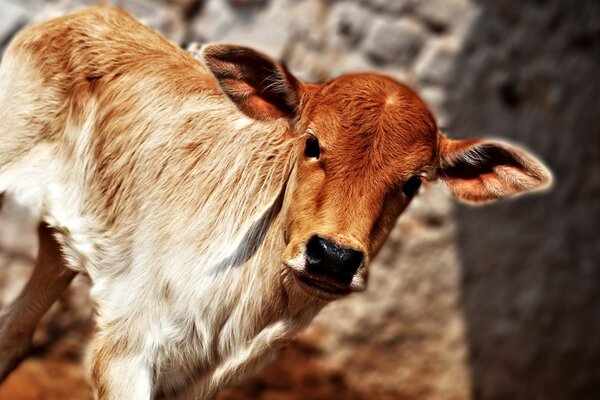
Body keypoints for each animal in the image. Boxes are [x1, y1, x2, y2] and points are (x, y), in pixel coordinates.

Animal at [0, 3, 552, 400]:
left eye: (414, 183)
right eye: (311, 143)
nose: (333, 257)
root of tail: (85, 14)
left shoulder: (199, 381)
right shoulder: (123, 349)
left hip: (62, 241)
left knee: (15, 328)